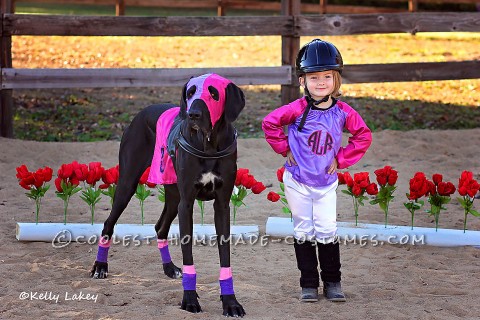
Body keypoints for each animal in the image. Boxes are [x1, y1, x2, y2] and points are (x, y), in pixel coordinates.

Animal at [90, 74, 246, 316]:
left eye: (213, 93)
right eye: (190, 92)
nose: (193, 115)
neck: (209, 144)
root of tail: (142, 111)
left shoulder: (221, 205)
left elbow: (225, 255)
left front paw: (230, 302)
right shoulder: (187, 205)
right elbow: (188, 251)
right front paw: (189, 299)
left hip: (173, 197)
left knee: (160, 227)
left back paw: (169, 268)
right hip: (128, 184)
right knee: (109, 222)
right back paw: (100, 267)